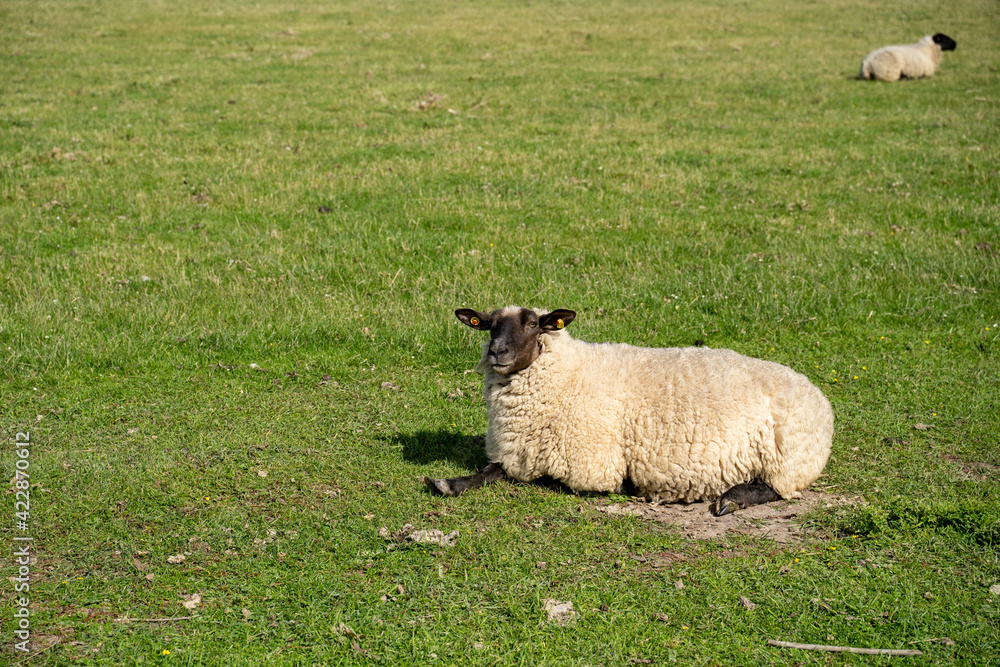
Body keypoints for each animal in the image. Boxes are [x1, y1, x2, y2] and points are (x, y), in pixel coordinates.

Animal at [425, 306, 834, 516]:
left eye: (532, 323)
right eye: (488, 325)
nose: (498, 352)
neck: (568, 375)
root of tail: (819, 397)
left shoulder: (594, 468)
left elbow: (555, 481)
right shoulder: (515, 454)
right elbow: (489, 472)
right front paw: (448, 484)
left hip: (786, 460)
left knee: (776, 489)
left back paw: (731, 499)